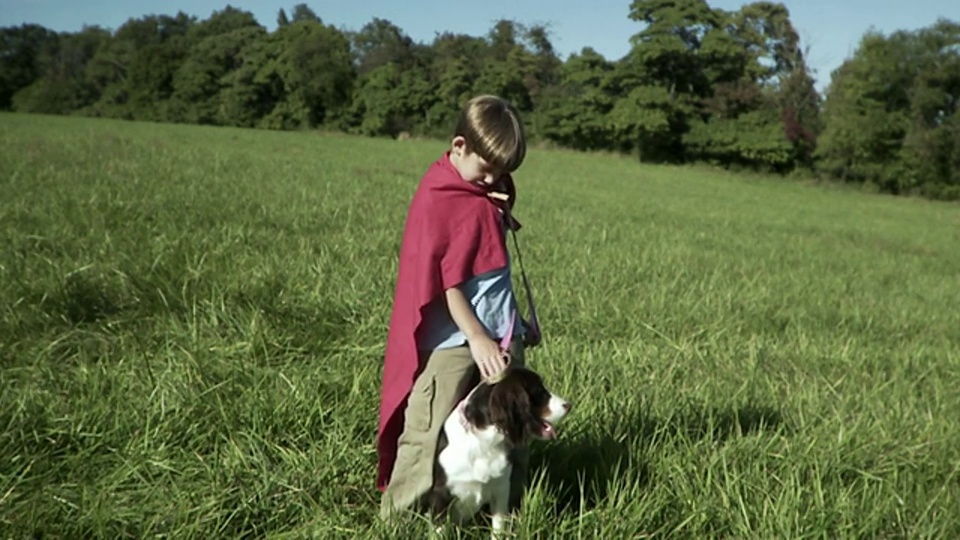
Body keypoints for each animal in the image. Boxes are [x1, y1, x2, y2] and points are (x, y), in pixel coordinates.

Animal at [428, 364, 568, 536]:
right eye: (539, 391)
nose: (568, 405)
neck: (484, 442)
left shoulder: (501, 489)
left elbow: (499, 528)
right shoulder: (441, 495)